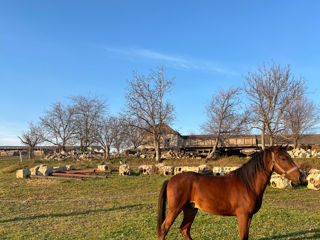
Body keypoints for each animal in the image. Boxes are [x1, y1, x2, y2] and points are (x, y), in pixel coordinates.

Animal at [158, 146, 304, 240]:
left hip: (191, 209)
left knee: (184, 229)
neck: (248, 184)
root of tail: (171, 179)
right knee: (164, 229)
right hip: (175, 209)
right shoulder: (242, 215)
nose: (300, 176)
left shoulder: (249, 216)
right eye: (283, 158)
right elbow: (242, 236)